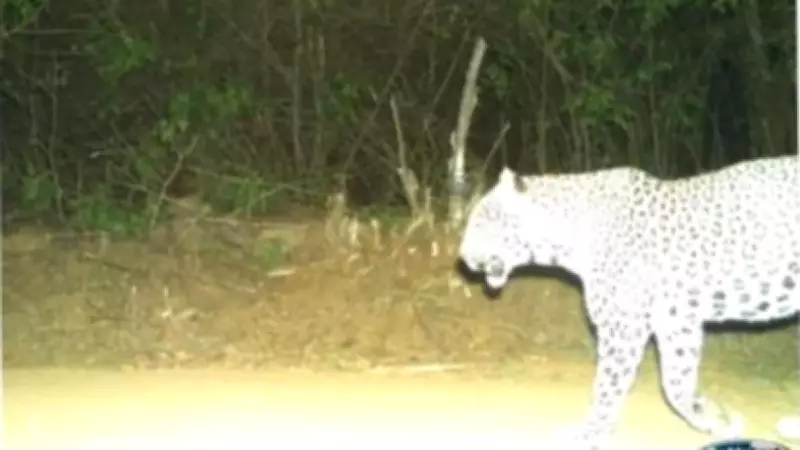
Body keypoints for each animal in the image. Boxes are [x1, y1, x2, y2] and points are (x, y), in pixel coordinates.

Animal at [457, 155, 799, 449]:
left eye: (482, 219)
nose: (462, 256)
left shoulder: (623, 326)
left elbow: (607, 387)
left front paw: (588, 434)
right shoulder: (676, 321)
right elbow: (677, 383)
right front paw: (714, 417)